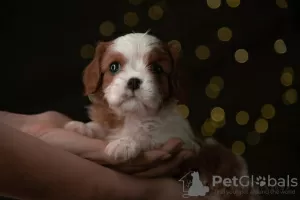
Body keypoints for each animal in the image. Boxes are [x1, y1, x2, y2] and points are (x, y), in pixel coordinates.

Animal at [64, 32, 200, 162]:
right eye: (114, 67)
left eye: (157, 68)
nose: (134, 81)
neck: (133, 115)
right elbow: (102, 127)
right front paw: (82, 127)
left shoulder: (183, 140)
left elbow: (150, 137)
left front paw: (125, 142)